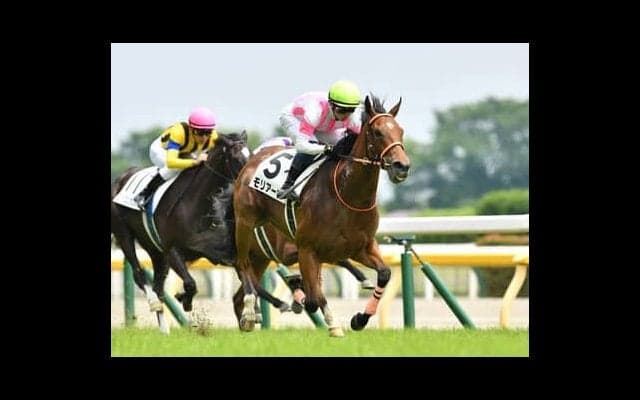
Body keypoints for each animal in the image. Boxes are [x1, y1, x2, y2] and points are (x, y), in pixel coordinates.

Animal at [233, 94, 411, 336]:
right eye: (377, 132)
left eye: (400, 130)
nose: (402, 166)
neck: (347, 194)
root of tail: (253, 158)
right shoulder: (308, 249)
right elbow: (316, 297)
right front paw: (334, 326)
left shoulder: (360, 247)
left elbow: (384, 274)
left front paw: (360, 319)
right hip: (245, 223)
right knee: (243, 266)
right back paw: (250, 313)